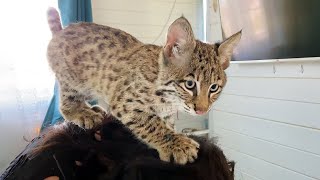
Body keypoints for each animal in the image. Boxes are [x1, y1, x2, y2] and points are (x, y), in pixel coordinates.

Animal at [46, 7, 241, 164]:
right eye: (190, 84)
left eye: (214, 88)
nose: (202, 111)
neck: (170, 99)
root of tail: (63, 31)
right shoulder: (125, 102)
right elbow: (152, 124)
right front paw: (178, 145)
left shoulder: (166, 113)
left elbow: (164, 124)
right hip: (75, 82)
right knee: (66, 103)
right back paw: (83, 113)